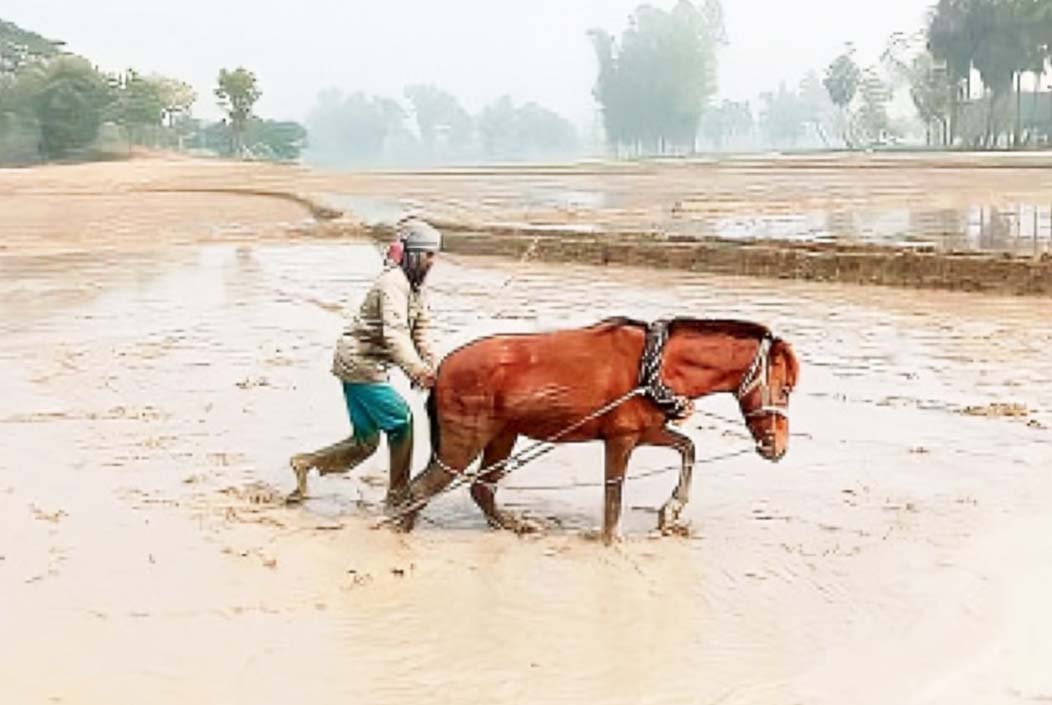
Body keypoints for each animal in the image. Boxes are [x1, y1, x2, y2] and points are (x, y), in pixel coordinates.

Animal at [393, 317, 795, 542]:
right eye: (786, 389)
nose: (777, 448)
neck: (654, 368)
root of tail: (438, 372)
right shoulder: (620, 441)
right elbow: (613, 500)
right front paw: (611, 541)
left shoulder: (645, 433)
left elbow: (688, 448)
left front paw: (670, 512)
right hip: (464, 440)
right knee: (419, 491)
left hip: (502, 435)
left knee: (481, 490)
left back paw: (515, 526)